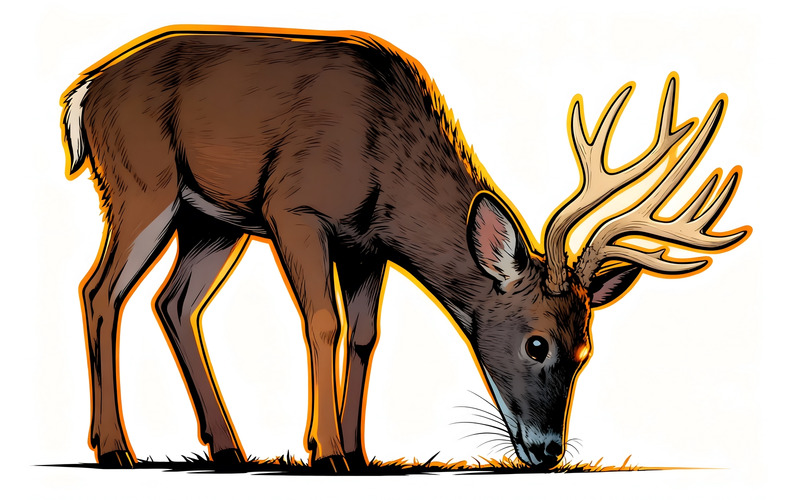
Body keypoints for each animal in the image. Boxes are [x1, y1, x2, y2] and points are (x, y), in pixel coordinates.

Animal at [61, 25, 750, 472]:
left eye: (585, 353)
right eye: (537, 344)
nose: (549, 451)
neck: (386, 166)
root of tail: (84, 91)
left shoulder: (368, 247)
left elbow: (365, 336)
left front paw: (358, 451)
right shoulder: (295, 209)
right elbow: (323, 321)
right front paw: (326, 452)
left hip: (211, 219)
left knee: (173, 302)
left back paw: (227, 448)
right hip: (141, 185)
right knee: (99, 290)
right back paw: (115, 448)